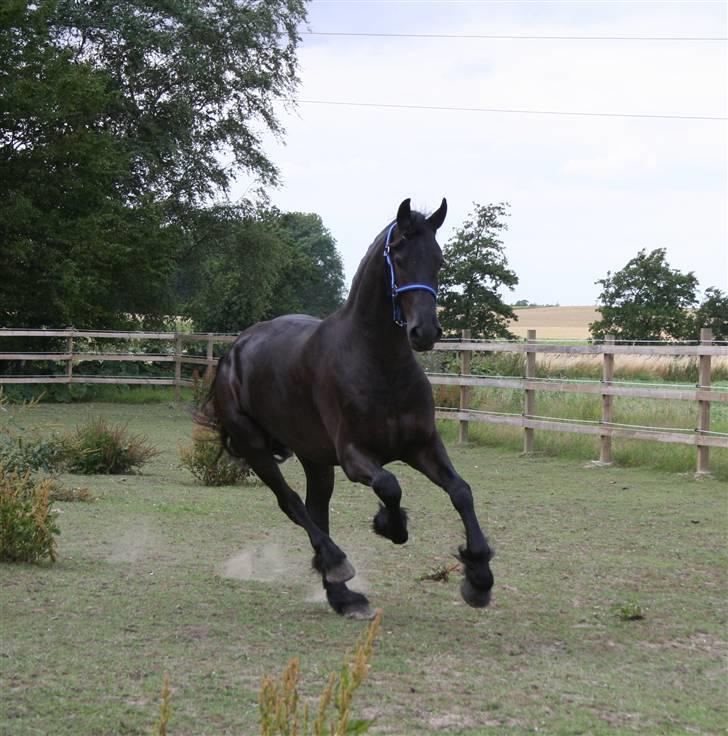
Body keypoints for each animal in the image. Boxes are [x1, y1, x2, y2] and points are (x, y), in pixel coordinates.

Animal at [205, 198, 494, 620]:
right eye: (399, 257)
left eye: (438, 260)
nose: (425, 332)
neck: (378, 363)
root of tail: (235, 350)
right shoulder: (355, 456)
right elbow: (389, 485)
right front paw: (390, 525)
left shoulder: (422, 446)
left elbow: (461, 492)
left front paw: (479, 578)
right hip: (256, 448)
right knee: (292, 504)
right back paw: (337, 564)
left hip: (315, 458)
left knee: (316, 508)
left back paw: (343, 596)